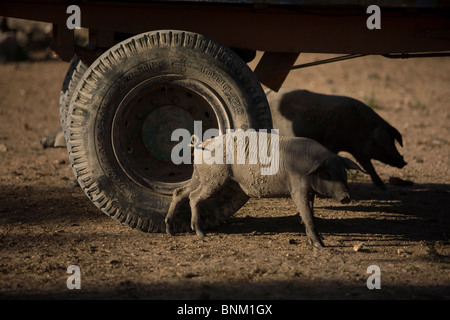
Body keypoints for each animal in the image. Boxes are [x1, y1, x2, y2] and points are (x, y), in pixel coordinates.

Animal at [165, 132, 366, 248]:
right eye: (328, 173)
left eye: (344, 172)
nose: (346, 197)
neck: (309, 162)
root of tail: (203, 144)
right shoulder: (297, 187)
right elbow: (307, 214)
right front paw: (320, 245)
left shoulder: (310, 192)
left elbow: (309, 213)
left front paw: (316, 242)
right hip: (213, 179)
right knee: (193, 197)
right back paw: (200, 233)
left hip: (199, 176)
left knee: (180, 192)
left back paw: (170, 230)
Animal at [268, 86, 408, 189]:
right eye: (383, 145)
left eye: (393, 142)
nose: (403, 162)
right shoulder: (332, 142)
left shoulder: (359, 151)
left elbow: (369, 166)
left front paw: (382, 186)